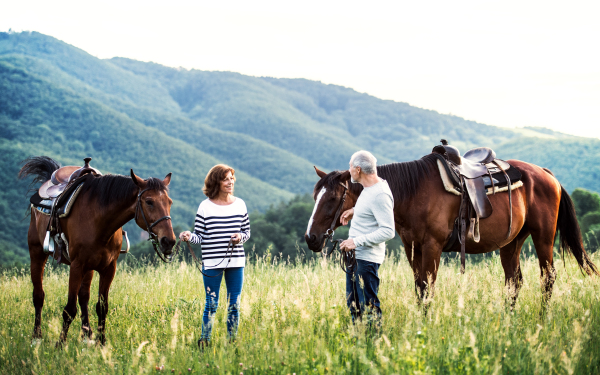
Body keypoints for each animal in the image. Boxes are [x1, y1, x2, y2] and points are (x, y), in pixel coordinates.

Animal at [18, 156, 176, 346]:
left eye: (169, 202)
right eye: (149, 201)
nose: (168, 241)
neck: (99, 220)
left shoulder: (108, 268)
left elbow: (101, 306)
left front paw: (102, 342)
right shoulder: (76, 266)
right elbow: (69, 309)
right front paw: (60, 344)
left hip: (89, 268)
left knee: (83, 297)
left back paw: (87, 334)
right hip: (37, 254)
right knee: (39, 296)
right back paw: (37, 337)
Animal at [308, 154, 596, 306]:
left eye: (332, 198)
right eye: (314, 196)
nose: (311, 238)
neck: (413, 193)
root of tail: (547, 175)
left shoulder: (432, 247)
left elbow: (428, 288)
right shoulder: (412, 248)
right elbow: (419, 288)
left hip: (543, 237)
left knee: (547, 278)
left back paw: (540, 321)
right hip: (511, 242)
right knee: (514, 282)